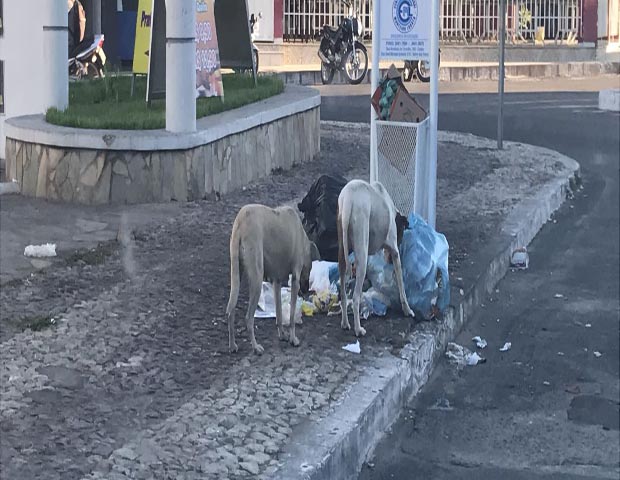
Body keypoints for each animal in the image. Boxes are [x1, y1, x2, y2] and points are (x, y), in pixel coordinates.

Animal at [225, 204, 320, 354]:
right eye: (310, 269)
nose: (305, 291)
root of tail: (241, 221)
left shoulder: (276, 281)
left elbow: (279, 313)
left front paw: (282, 334)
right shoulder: (295, 280)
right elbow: (291, 316)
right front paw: (293, 338)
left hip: (236, 273)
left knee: (230, 309)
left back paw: (232, 345)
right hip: (257, 279)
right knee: (248, 318)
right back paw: (255, 346)